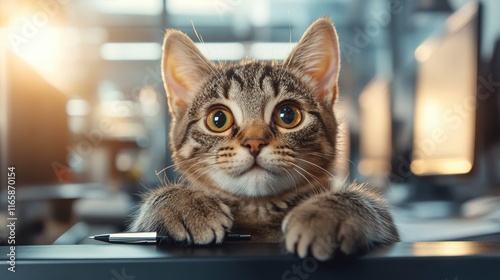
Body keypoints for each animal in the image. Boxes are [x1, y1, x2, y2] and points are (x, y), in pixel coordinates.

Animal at [129, 16, 398, 260]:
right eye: (218, 119)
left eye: (288, 115)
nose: (254, 143)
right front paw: (186, 203)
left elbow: (370, 204)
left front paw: (325, 213)